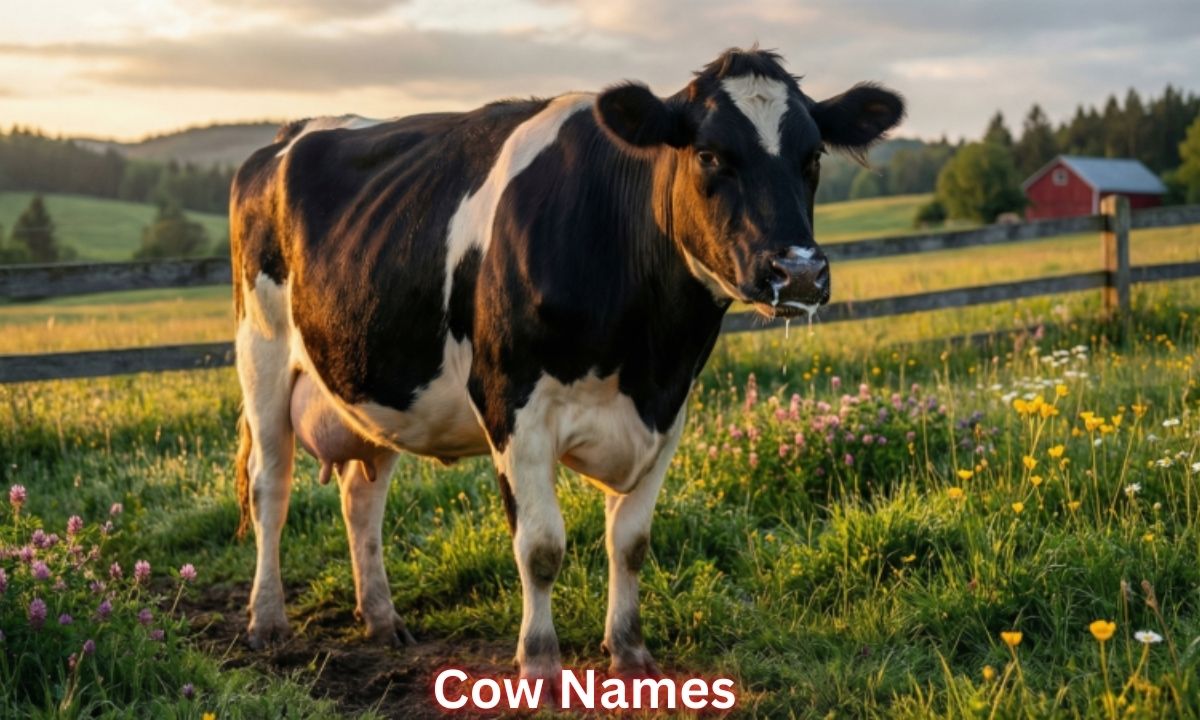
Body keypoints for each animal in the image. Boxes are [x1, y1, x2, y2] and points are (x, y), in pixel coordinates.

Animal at [230, 47, 903, 681]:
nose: (800, 272)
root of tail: (285, 136)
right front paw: (540, 665)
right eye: (710, 154)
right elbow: (541, 547)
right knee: (271, 486)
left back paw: (381, 617)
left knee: (362, 496)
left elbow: (631, 542)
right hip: (261, 353)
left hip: (372, 383)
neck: (644, 353)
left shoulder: (670, 410)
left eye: (813, 156)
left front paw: (630, 652)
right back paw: (267, 620)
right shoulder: (512, 405)